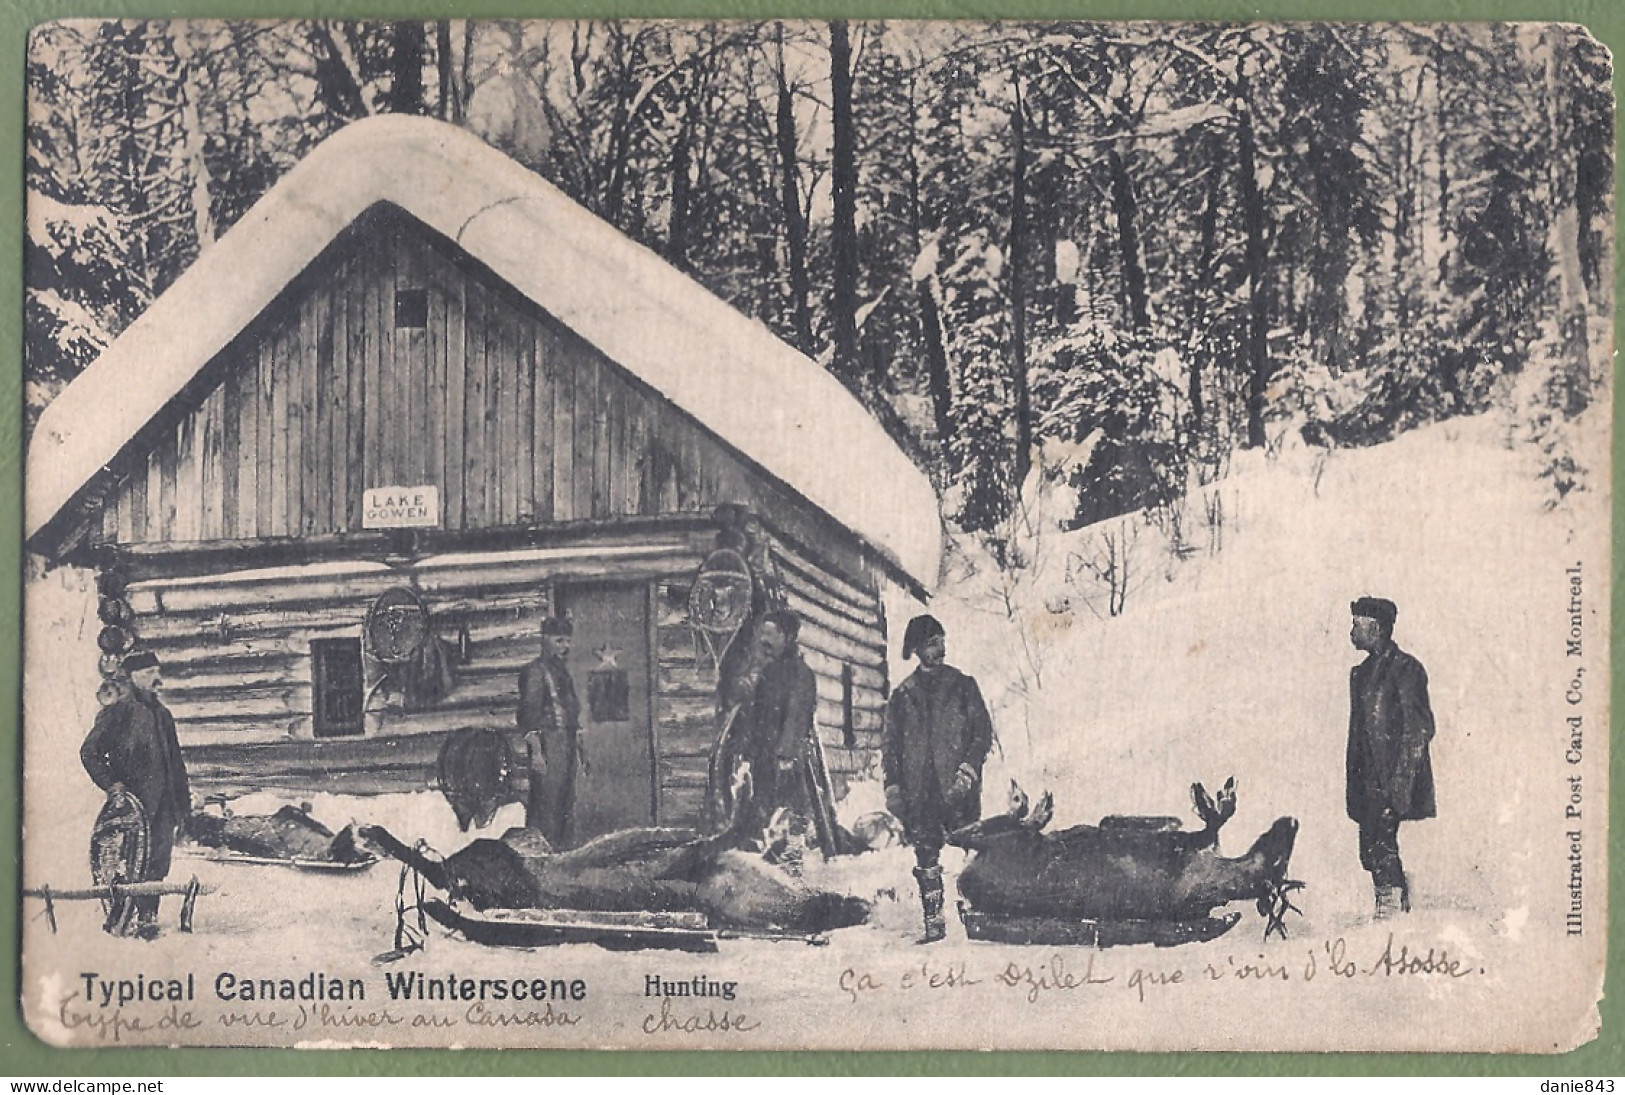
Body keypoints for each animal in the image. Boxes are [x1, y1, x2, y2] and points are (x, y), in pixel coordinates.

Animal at [949, 776, 1300, 935]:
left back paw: (1029, 808)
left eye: (1277, 861)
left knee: (968, 833)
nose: (1291, 822)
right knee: (963, 833)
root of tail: (966, 883)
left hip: (1004, 840)